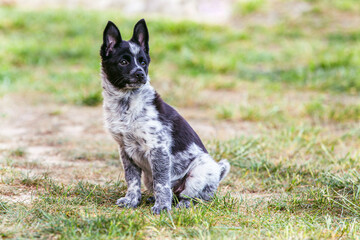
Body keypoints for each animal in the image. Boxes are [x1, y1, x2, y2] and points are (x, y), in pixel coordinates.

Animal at [100, 18, 229, 214]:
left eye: (143, 62)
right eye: (123, 61)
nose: (140, 74)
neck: (126, 103)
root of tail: (218, 172)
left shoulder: (157, 148)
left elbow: (162, 183)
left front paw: (162, 207)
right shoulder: (125, 150)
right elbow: (132, 180)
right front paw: (132, 200)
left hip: (198, 173)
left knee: (193, 197)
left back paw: (182, 204)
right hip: (149, 177)